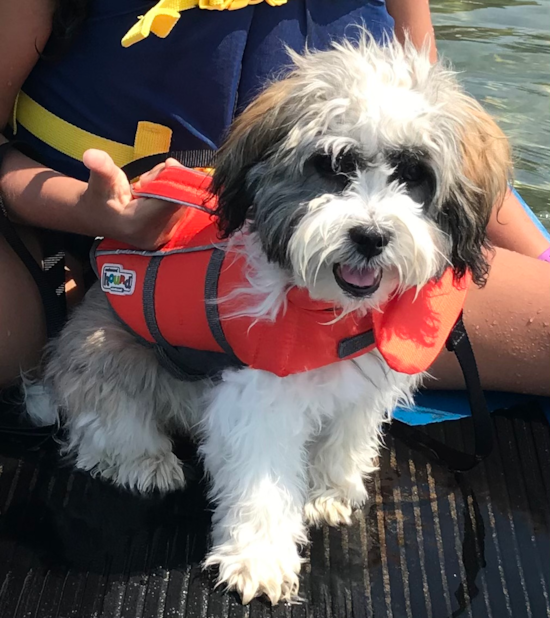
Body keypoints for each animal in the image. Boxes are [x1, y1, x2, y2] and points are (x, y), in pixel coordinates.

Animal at [28, 36, 512, 600]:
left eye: (414, 173)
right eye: (332, 165)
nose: (370, 236)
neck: (331, 310)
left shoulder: (362, 380)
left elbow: (345, 436)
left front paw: (329, 489)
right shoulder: (259, 394)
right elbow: (262, 476)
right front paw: (258, 557)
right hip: (102, 355)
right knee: (102, 428)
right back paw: (144, 461)